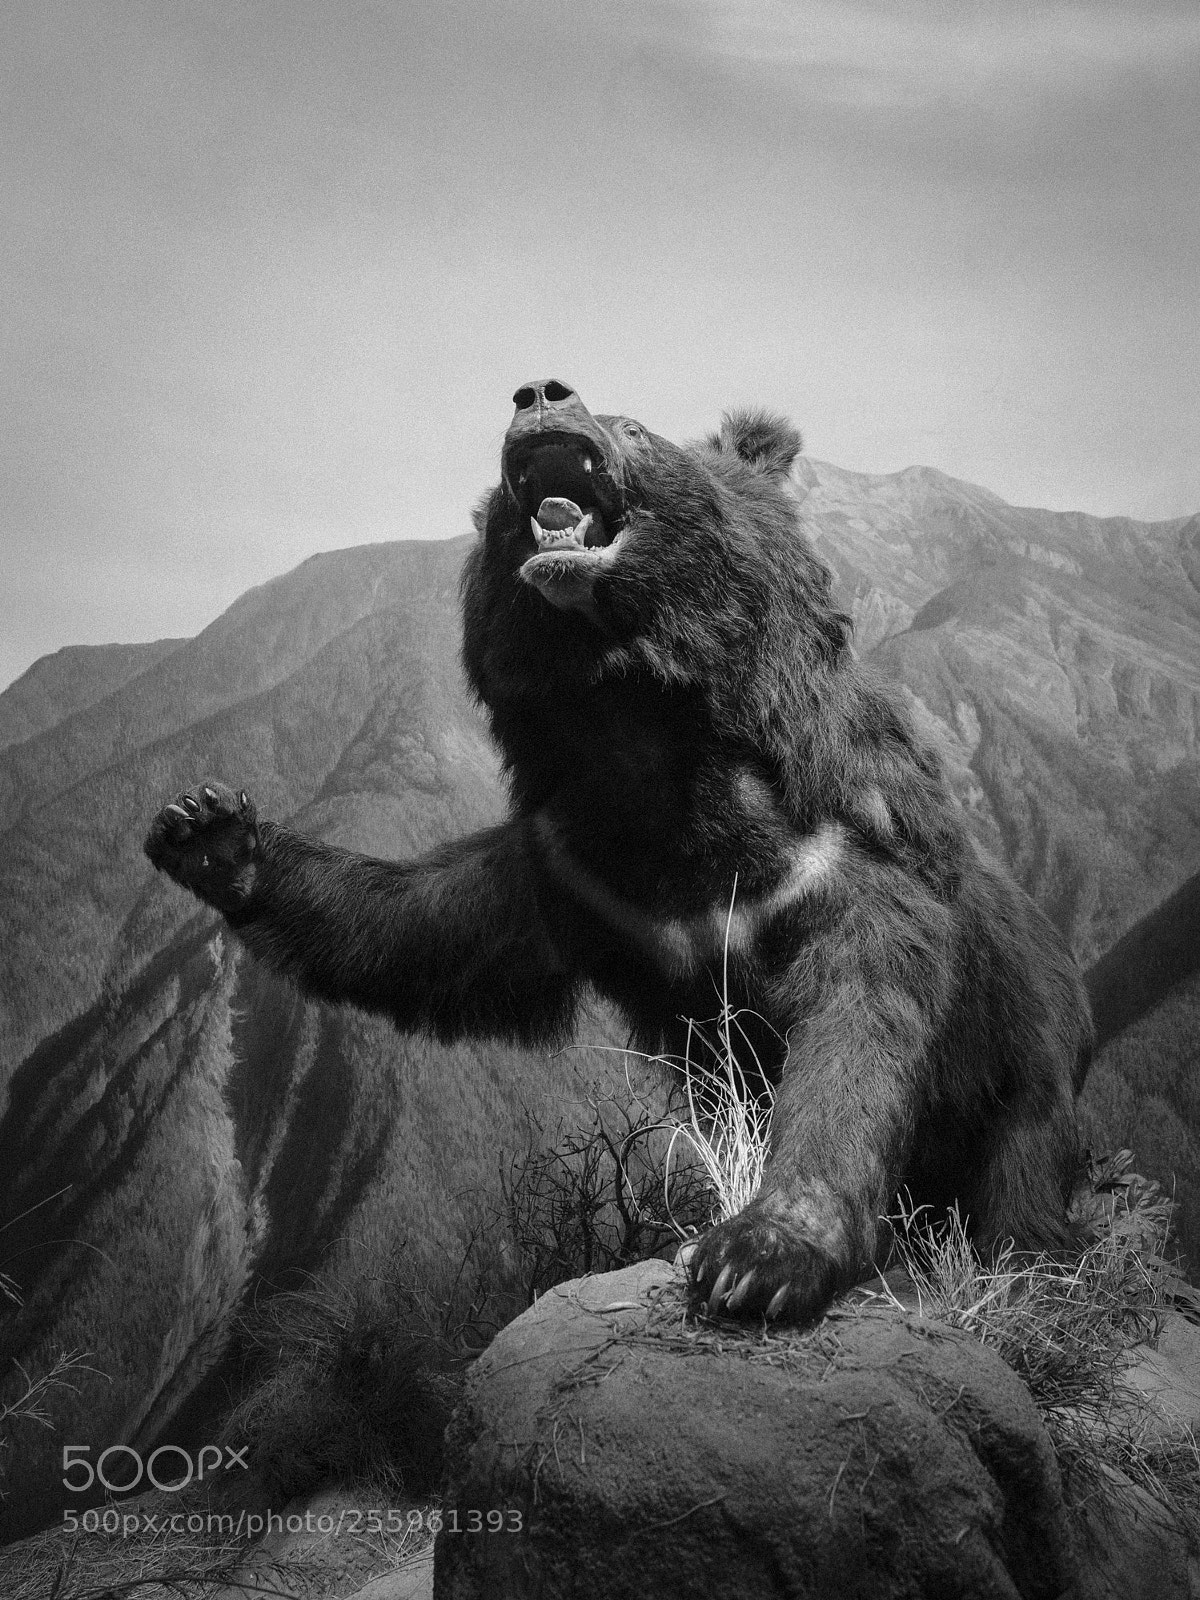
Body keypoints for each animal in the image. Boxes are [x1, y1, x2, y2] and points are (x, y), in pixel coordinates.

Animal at [145, 377, 1093, 1324]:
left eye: (636, 427)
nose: (540, 393)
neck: (641, 731)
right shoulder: (578, 870)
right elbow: (428, 926)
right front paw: (211, 835)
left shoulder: (838, 859)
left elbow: (861, 1026)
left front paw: (758, 1256)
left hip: (1030, 1047)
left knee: (1022, 1162)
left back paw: (1029, 1261)